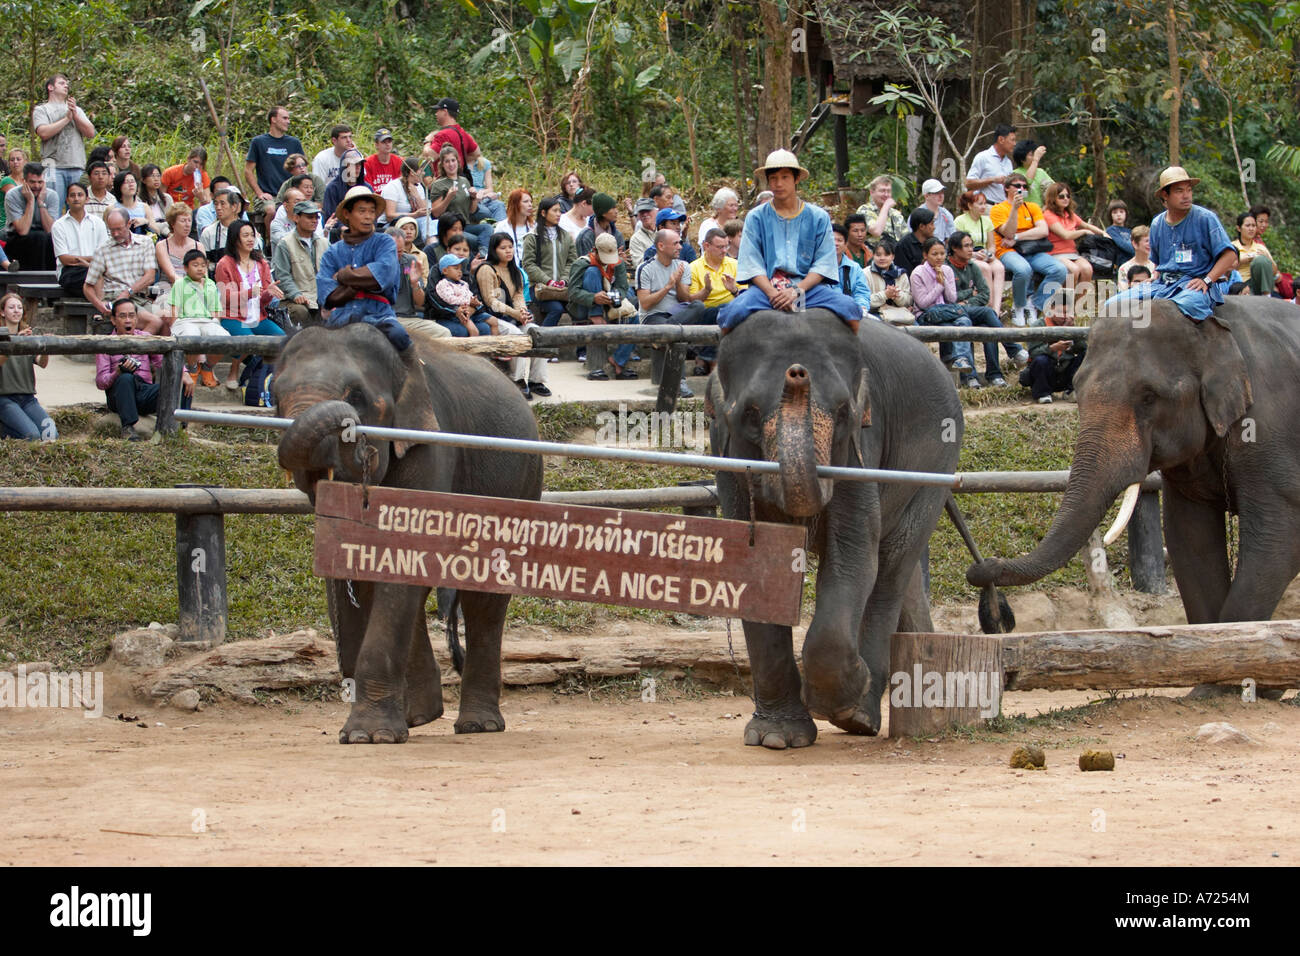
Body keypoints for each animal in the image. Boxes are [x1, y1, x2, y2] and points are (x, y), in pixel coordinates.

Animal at [274, 323, 543, 743]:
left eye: (357, 396)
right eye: (273, 397)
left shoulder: (431, 445)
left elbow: (400, 561)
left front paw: (367, 736)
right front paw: (367, 732)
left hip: (521, 482)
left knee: (483, 597)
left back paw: (477, 726)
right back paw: (420, 716)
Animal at [707, 309, 963, 748]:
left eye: (844, 413)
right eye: (750, 414)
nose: (797, 373)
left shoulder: (859, 452)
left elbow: (855, 550)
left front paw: (843, 698)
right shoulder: (728, 457)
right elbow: (754, 561)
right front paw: (776, 738)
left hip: (938, 464)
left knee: (891, 563)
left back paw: (861, 715)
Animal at [968, 298, 1300, 670]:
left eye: (1149, 397)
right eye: (1077, 389)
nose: (984, 567)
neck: (1213, 325)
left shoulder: (1273, 433)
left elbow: (1277, 545)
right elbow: (1190, 542)